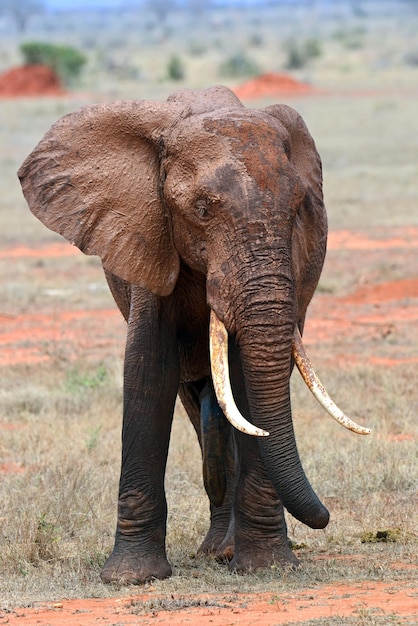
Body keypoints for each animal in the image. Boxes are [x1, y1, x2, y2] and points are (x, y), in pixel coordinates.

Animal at [18, 85, 370, 584]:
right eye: (201, 210)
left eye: (298, 211)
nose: (324, 517)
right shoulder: (147, 236)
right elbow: (148, 369)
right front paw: (131, 578)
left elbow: (247, 381)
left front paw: (265, 566)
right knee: (194, 397)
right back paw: (215, 549)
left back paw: (225, 552)